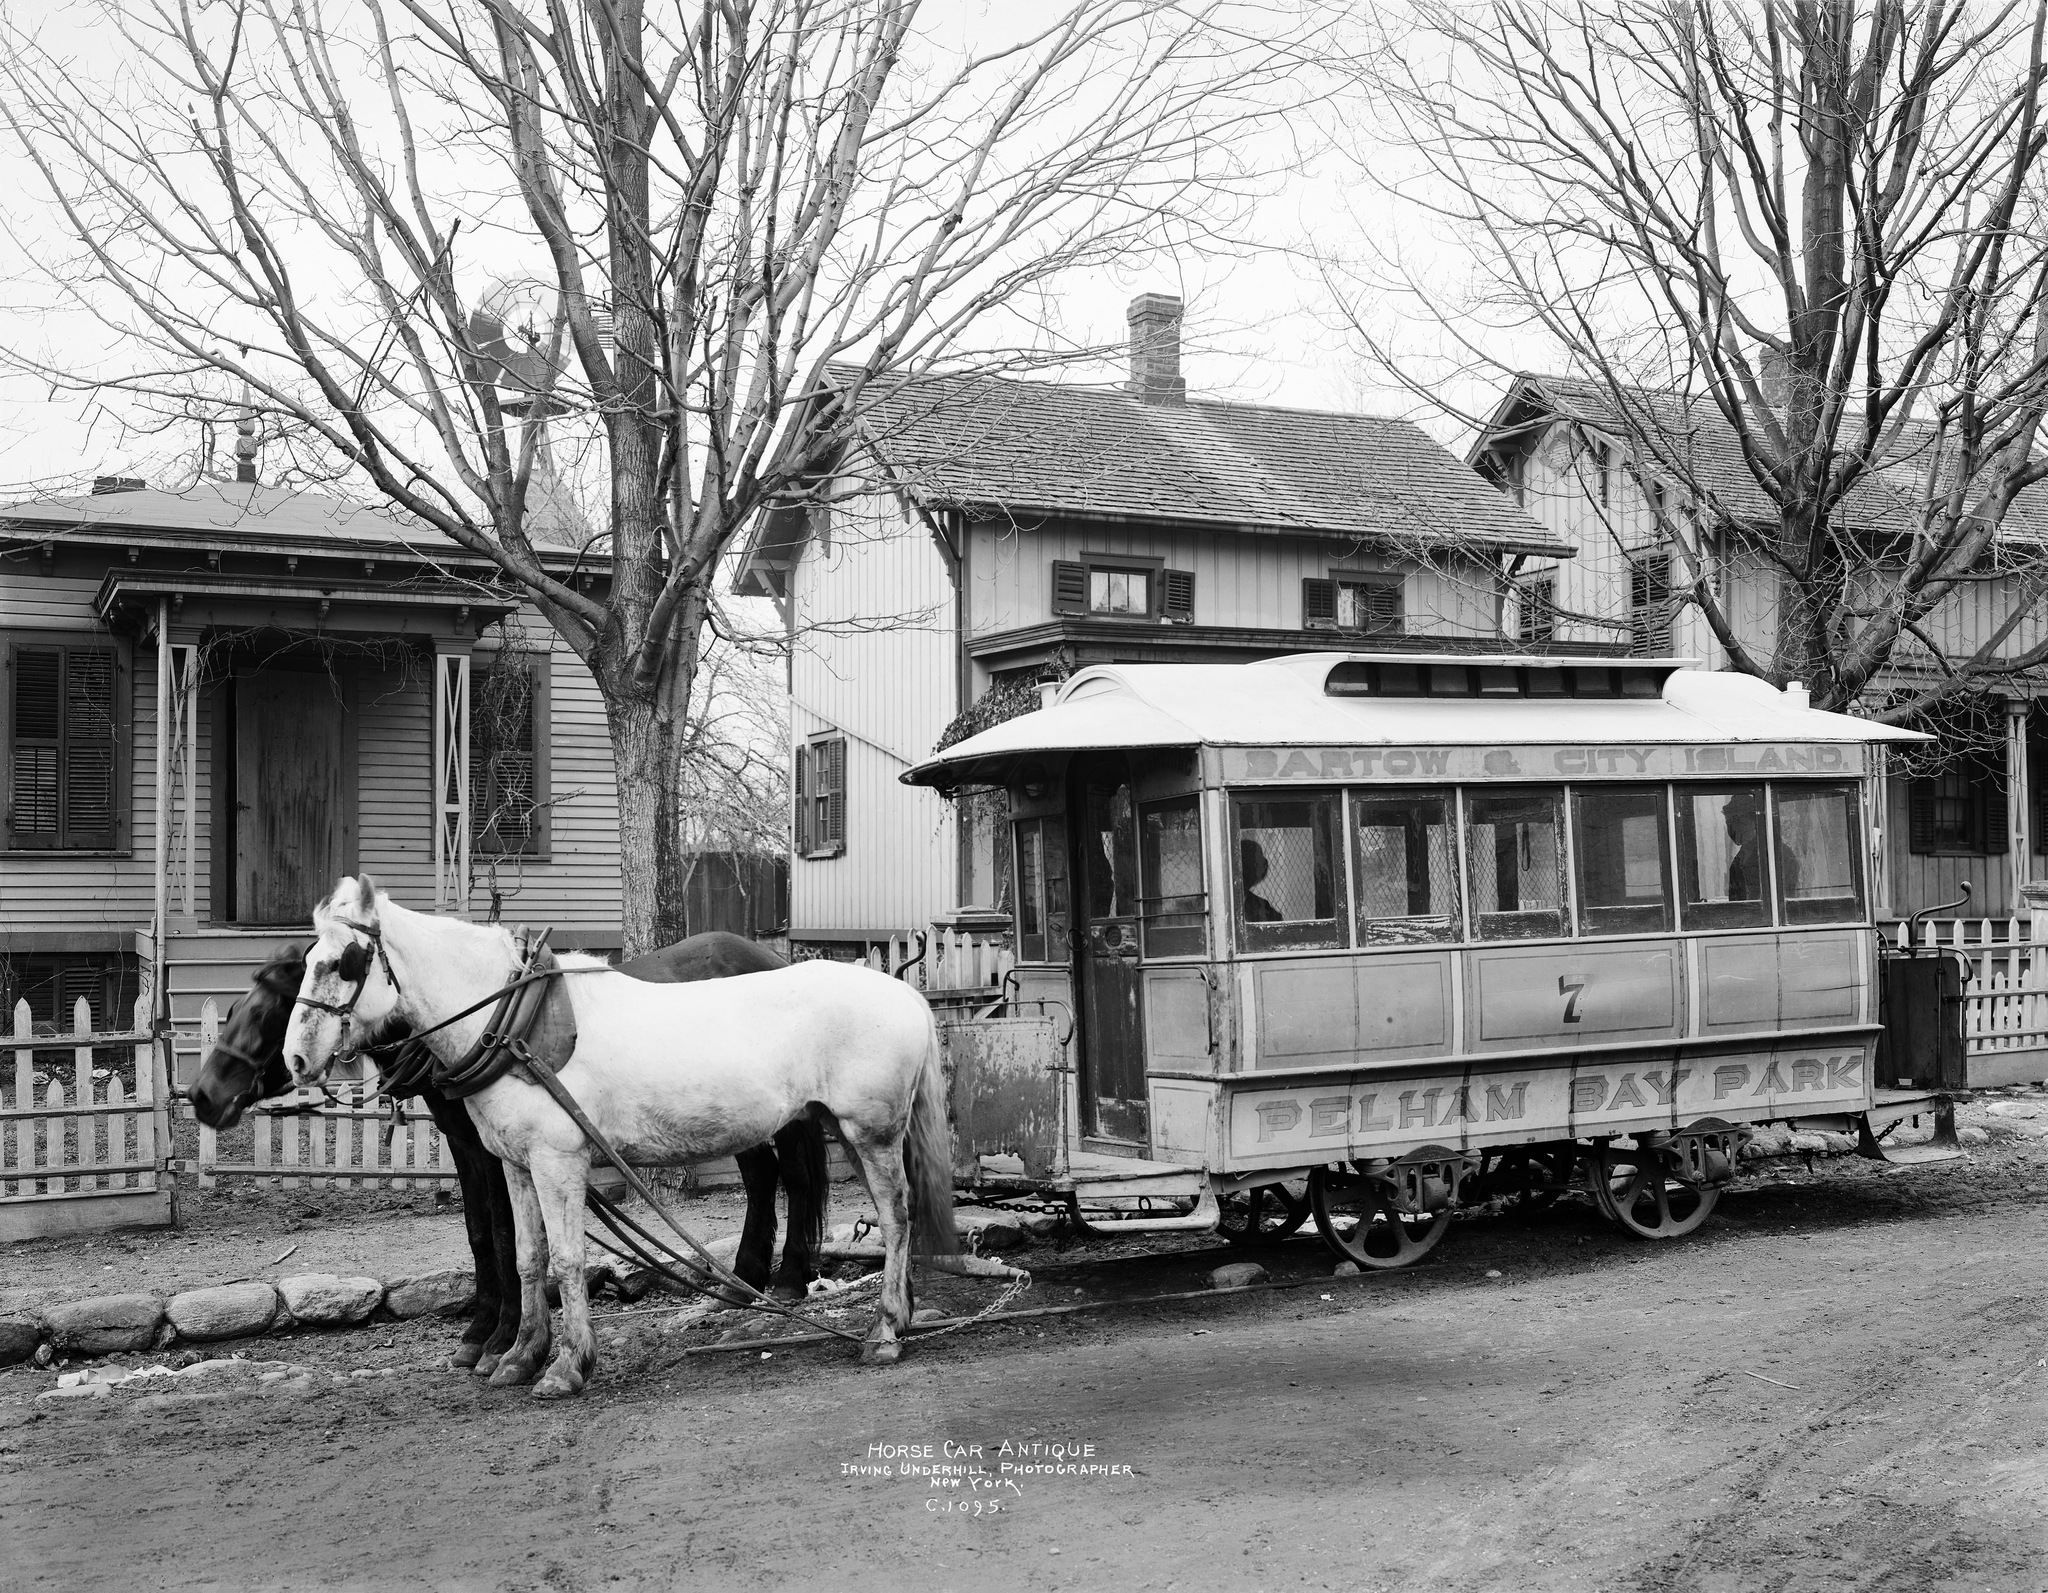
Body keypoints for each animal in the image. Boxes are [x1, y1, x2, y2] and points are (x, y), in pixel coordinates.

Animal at [186, 929, 823, 1367]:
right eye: (240, 1004)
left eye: (267, 1008)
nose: (200, 1096)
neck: (477, 1024)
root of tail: (773, 958)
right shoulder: (471, 1146)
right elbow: (481, 1234)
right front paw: (484, 1332)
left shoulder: (497, 1153)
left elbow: (501, 1233)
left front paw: (499, 1336)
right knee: (762, 1178)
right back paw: (740, 1283)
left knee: (792, 1177)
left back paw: (789, 1278)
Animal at [280, 876, 958, 1400]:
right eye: (307, 961)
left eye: (343, 962)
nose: (295, 1059)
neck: (512, 1027)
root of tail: (905, 992)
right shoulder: (514, 1164)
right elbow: (525, 1257)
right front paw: (518, 1355)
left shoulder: (558, 1161)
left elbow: (566, 1260)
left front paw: (566, 1366)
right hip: (837, 1127)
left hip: (869, 1131)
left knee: (895, 1216)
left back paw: (883, 1331)